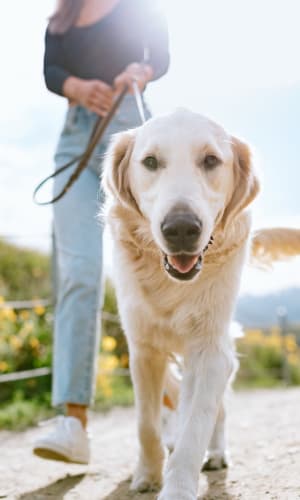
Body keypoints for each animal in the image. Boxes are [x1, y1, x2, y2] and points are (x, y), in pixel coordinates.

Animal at [102, 110, 300, 500]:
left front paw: (178, 486)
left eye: (210, 160)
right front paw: (148, 474)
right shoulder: (143, 349)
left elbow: (197, 425)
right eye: (150, 162)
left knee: (215, 412)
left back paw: (217, 453)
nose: (181, 229)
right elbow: (146, 423)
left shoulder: (211, 351)